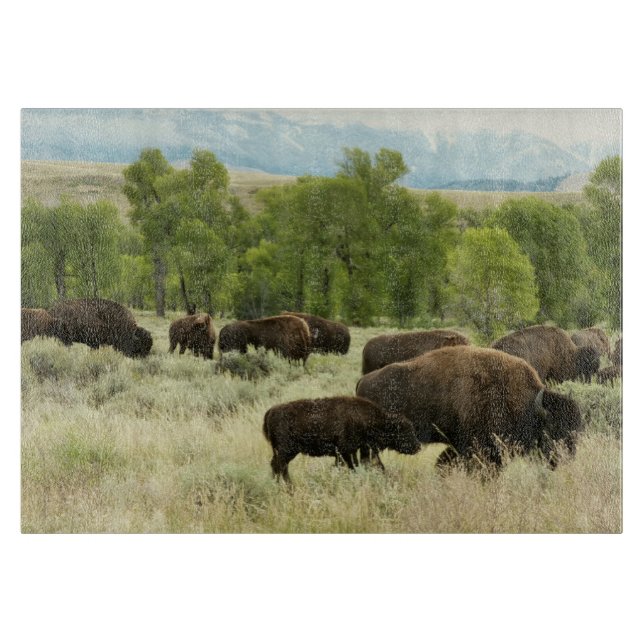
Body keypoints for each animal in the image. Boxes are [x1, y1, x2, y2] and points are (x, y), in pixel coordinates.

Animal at [262, 396, 420, 483]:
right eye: (405, 430)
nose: (418, 446)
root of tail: (271, 411)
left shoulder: (350, 452)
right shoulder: (345, 451)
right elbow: (352, 467)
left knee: (278, 466)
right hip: (287, 451)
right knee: (280, 467)